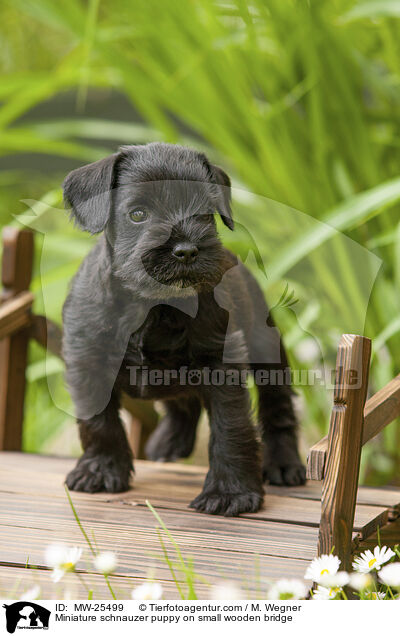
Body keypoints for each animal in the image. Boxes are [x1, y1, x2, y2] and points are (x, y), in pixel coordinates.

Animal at [61, 142, 306, 516]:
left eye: (205, 212)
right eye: (138, 214)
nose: (187, 250)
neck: (151, 305)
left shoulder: (220, 364)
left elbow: (230, 426)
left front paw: (230, 493)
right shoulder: (88, 362)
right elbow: (99, 421)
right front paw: (100, 471)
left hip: (268, 350)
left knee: (277, 408)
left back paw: (284, 464)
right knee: (183, 403)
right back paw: (169, 442)